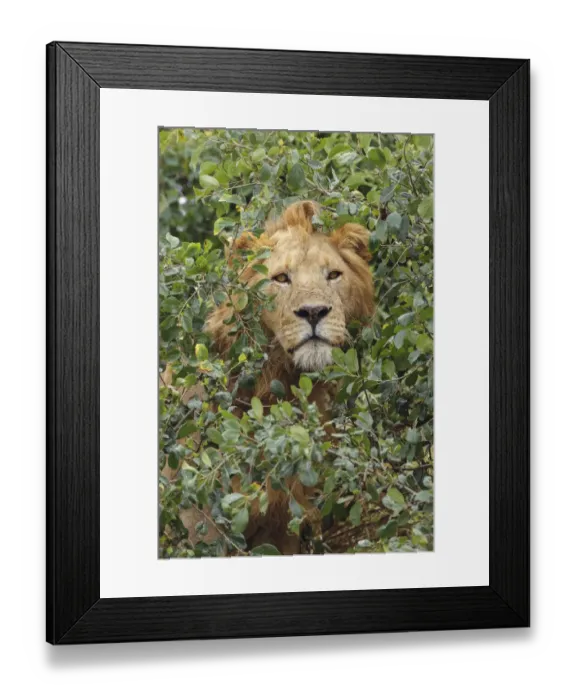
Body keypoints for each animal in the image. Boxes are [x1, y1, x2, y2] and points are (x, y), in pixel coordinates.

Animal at [163, 201, 375, 555]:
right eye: (281, 278)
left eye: (333, 275)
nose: (314, 312)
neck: (279, 386)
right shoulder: (199, 520)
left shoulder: (283, 519)